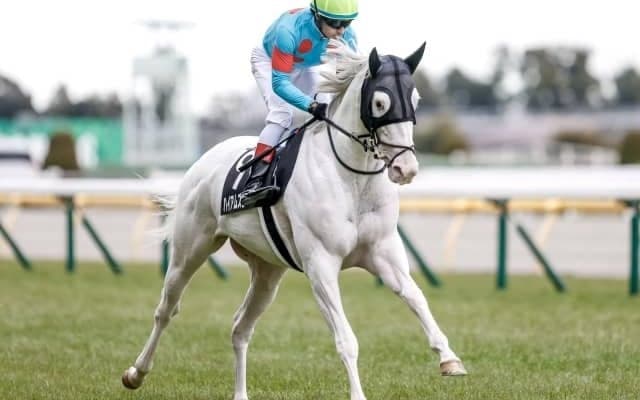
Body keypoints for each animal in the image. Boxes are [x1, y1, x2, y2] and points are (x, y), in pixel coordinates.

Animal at [122, 40, 467, 400]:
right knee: (166, 309)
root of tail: (203, 161)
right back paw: (135, 372)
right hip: (190, 249)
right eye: (380, 102)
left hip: (267, 271)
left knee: (240, 327)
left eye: (415, 100)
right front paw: (358, 394)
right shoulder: (321, 264)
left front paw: (449, 358)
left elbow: (416, 297)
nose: (406, 168)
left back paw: (240, 393)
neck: (351, 179)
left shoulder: (383, 252)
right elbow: (346, 340)